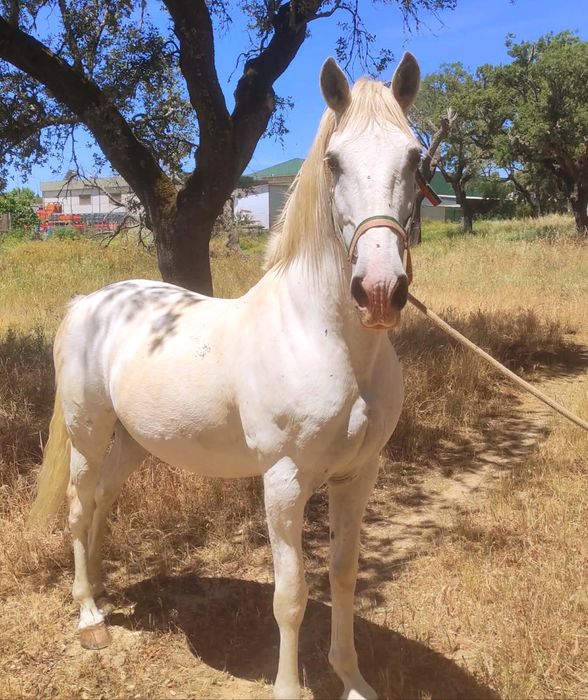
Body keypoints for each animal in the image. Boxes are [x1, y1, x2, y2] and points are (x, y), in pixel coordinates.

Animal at [30, 53, 423, 700]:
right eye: (334, 161)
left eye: (416, 157)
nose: (379, 291)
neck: (325, 337)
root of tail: (90, 302)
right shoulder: (284, 482)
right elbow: (290, 596)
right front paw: (289, 688)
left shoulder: (357, 475)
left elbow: (343, 575)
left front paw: (352, 679)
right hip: (88, 433)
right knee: (79, 505)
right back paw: (89, 616)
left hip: (134, 441)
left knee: (105, 497)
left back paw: (106, 591)